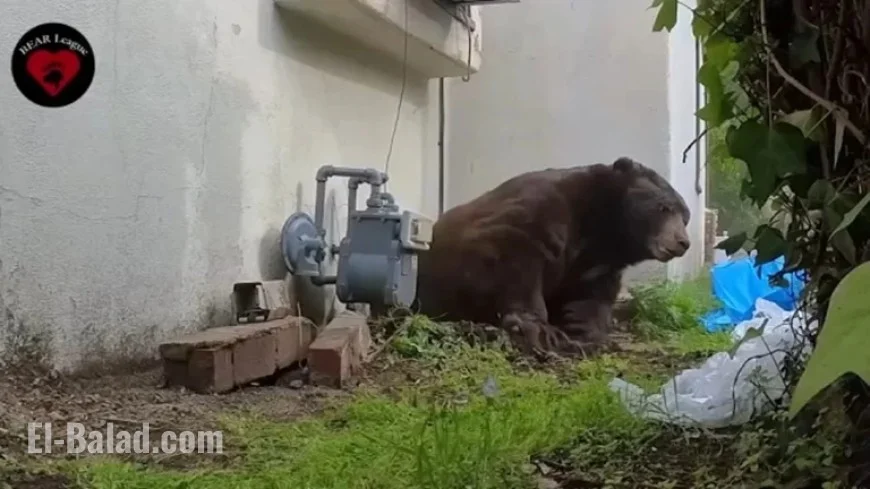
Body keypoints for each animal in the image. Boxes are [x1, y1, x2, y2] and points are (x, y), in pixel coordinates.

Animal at [413, 157, 691, 358]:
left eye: (685, 216)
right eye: (664, 207)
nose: (682, 242)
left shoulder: (595, 265)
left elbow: (587, 300)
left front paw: (585, 336)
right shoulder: (543, 212)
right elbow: (512, 256)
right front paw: (540, 330)